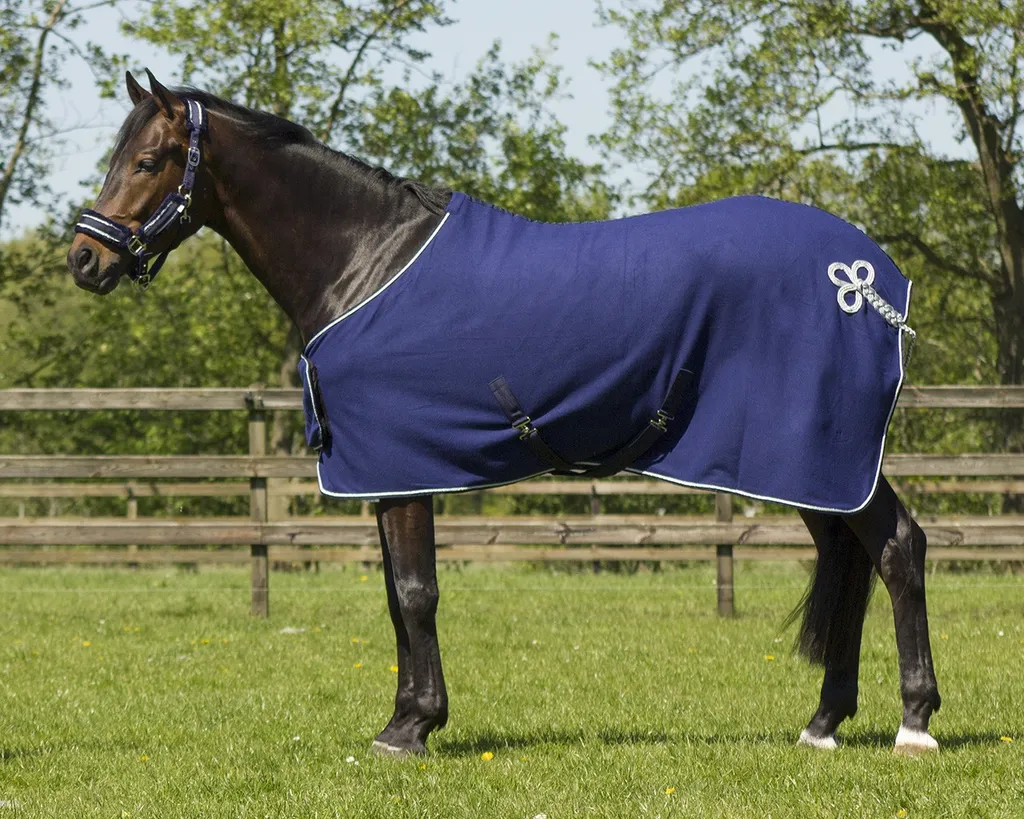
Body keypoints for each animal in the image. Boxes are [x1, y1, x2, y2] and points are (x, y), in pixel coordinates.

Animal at [66, 71, 941, 757]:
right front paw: (406, 718)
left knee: (898, 546)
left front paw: (411, 728)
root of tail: (871, 279)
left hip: (823, 453)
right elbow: (396, 600)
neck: (366, 260)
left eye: (147, 160)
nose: (84, 257)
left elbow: (416, 591)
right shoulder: (383, 475)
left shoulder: (403, 465)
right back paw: (823, 721)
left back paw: (916, 721)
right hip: (808, 463)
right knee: (849, 554)